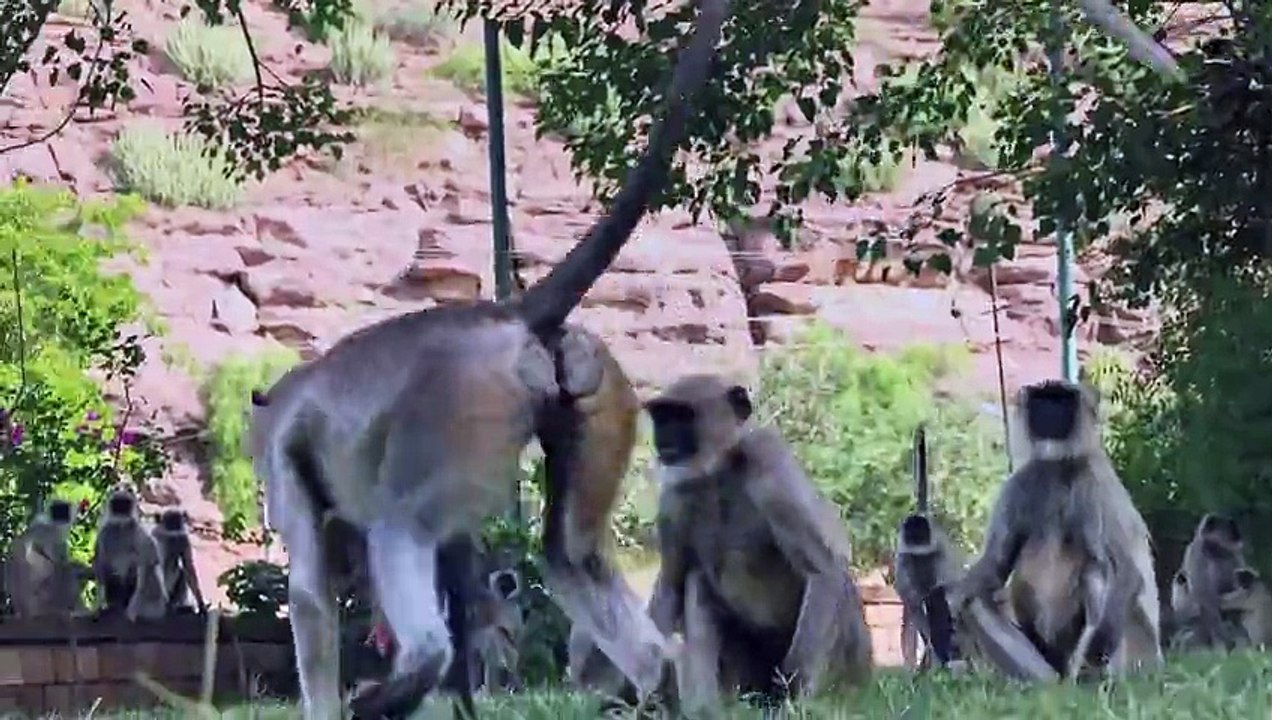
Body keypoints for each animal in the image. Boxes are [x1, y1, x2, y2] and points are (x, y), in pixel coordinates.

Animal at [92, 487, 167, 622]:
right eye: (116, 488)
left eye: (129, 489)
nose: (122, 491)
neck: (121, 525)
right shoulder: (103, 533)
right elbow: (100, 564)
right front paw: (98, 605)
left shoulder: (139, 532)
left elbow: (151, 559)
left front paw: (133, 609)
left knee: (144, 566)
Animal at [247, 3, 728, 716]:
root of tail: (513, 319)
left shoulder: (289, 460)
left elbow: (309, 594)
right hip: (597, 385)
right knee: (570, 554)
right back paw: (654, 679)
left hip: (459, 401)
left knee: (400, 530)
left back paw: (409, 676)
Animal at [643, 374, 872, 716]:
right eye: (661, 416)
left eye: (682, 416)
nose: (664, 436)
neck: (719, 471)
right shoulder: (674, 497)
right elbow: (671, 586)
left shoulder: (767, 458)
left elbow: (824, 568)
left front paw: (790, 689)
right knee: (697, 581)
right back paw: (707, 708)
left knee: (836, 584)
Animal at [950, 379, 1162, 681]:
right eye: (1043, 400)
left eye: (1062, 401)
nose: (1049, 412)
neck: (1058, 467)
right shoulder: (1020, 483)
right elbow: (995, 565)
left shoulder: (1094, 484)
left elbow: (1128, 573)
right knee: (977, 600)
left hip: (1139, 649)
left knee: (1096, 571)